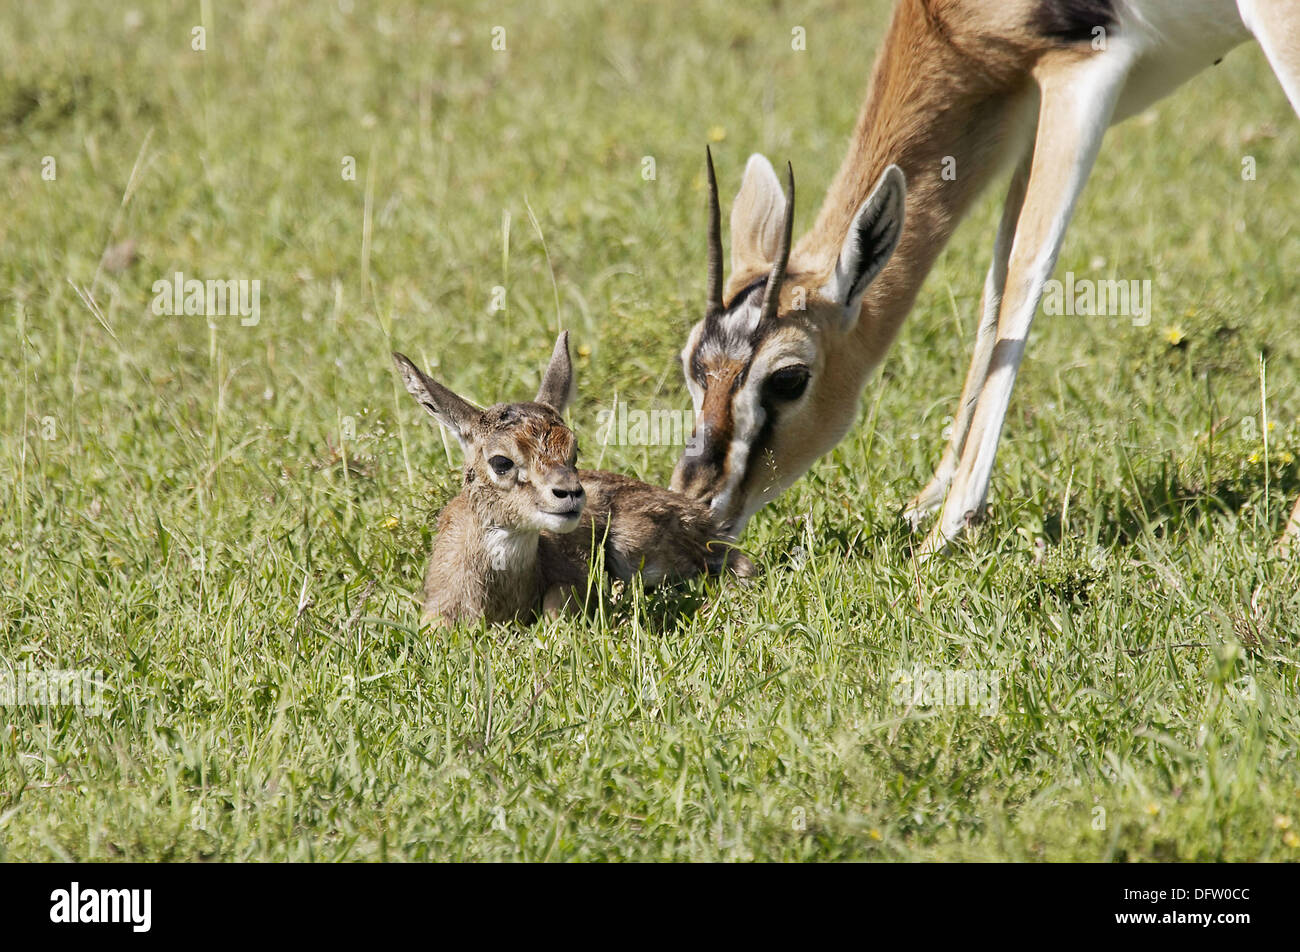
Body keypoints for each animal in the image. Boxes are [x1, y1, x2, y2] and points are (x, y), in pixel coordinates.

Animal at [671, 0, 1300, 558]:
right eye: (690, 364)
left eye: (789, 378)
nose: (696, 504)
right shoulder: (1023, 117)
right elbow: (994, 291)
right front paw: (925, 501)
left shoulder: (1079, 72)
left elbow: (1025, 274)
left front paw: (942, 535)